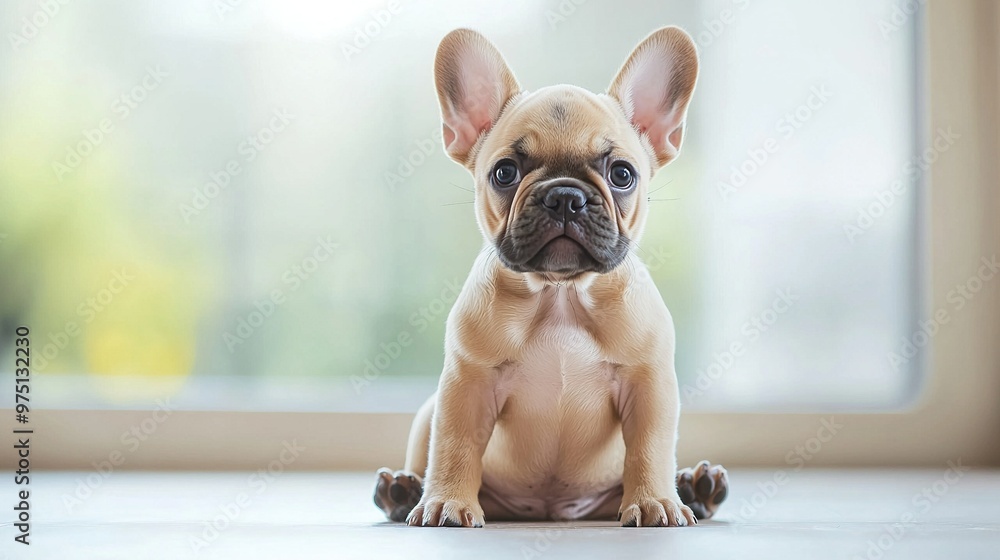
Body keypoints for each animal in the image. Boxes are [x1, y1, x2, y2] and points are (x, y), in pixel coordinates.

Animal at [376, 25, 728, 524]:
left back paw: (697, 487)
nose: (564, 196)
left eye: (622, 174)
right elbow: (454, 446)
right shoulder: (467, 386)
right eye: (505, 173)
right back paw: (403, 490)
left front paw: (653, 501)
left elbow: (650, 448)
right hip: (430, 410)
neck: (561, 296)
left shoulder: (649, 387)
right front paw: (447, 502)